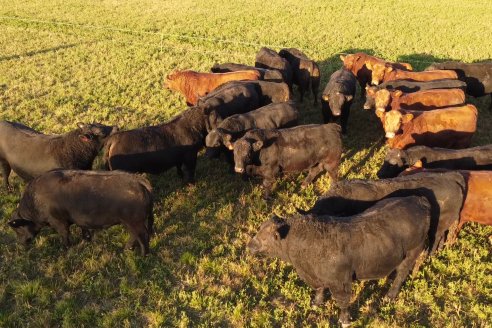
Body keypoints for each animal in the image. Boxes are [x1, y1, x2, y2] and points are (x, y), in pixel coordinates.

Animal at [7, 169, 153, 256]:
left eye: (17, 228)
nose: (20, 243)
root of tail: (137, 179)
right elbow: (84, 231)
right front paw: (85, 241)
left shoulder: (59, 222)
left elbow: (65, 235)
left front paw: (66, 249)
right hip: (129, 222)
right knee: (134, 235)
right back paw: (126, 249)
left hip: (134, 221)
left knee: (142, 235)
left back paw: (143, 255)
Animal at [250, 196, 430, 326]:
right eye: (259, 231)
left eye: (264, 238)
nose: (249, 245)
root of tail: (420, 200)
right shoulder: (315, 276)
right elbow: (319, 290)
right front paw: (316, 303)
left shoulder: (340, 282)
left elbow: (342, 302)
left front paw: (344, 321)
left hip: (412, 252)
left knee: (401, 274)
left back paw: (390, 296)